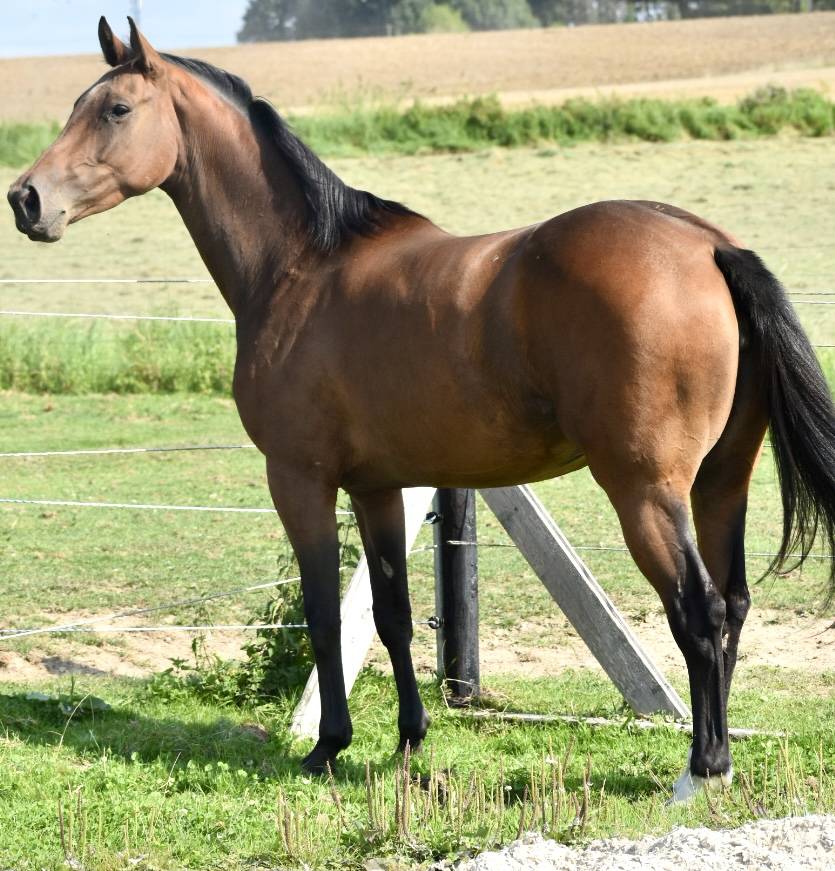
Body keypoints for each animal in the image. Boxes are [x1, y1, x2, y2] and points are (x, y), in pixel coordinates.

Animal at [8, 17, 834, 802]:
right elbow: (392, 615)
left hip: (645, 491)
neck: (301, 267)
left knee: (699, 611)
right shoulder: (378, 487)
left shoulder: (300, 480)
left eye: (115, 109)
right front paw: (408, 738)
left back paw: (700, 769)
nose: (25, 199)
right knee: (733, 604)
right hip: (719, 482)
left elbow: (322, 613)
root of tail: (706, 246)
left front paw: (327, 747)